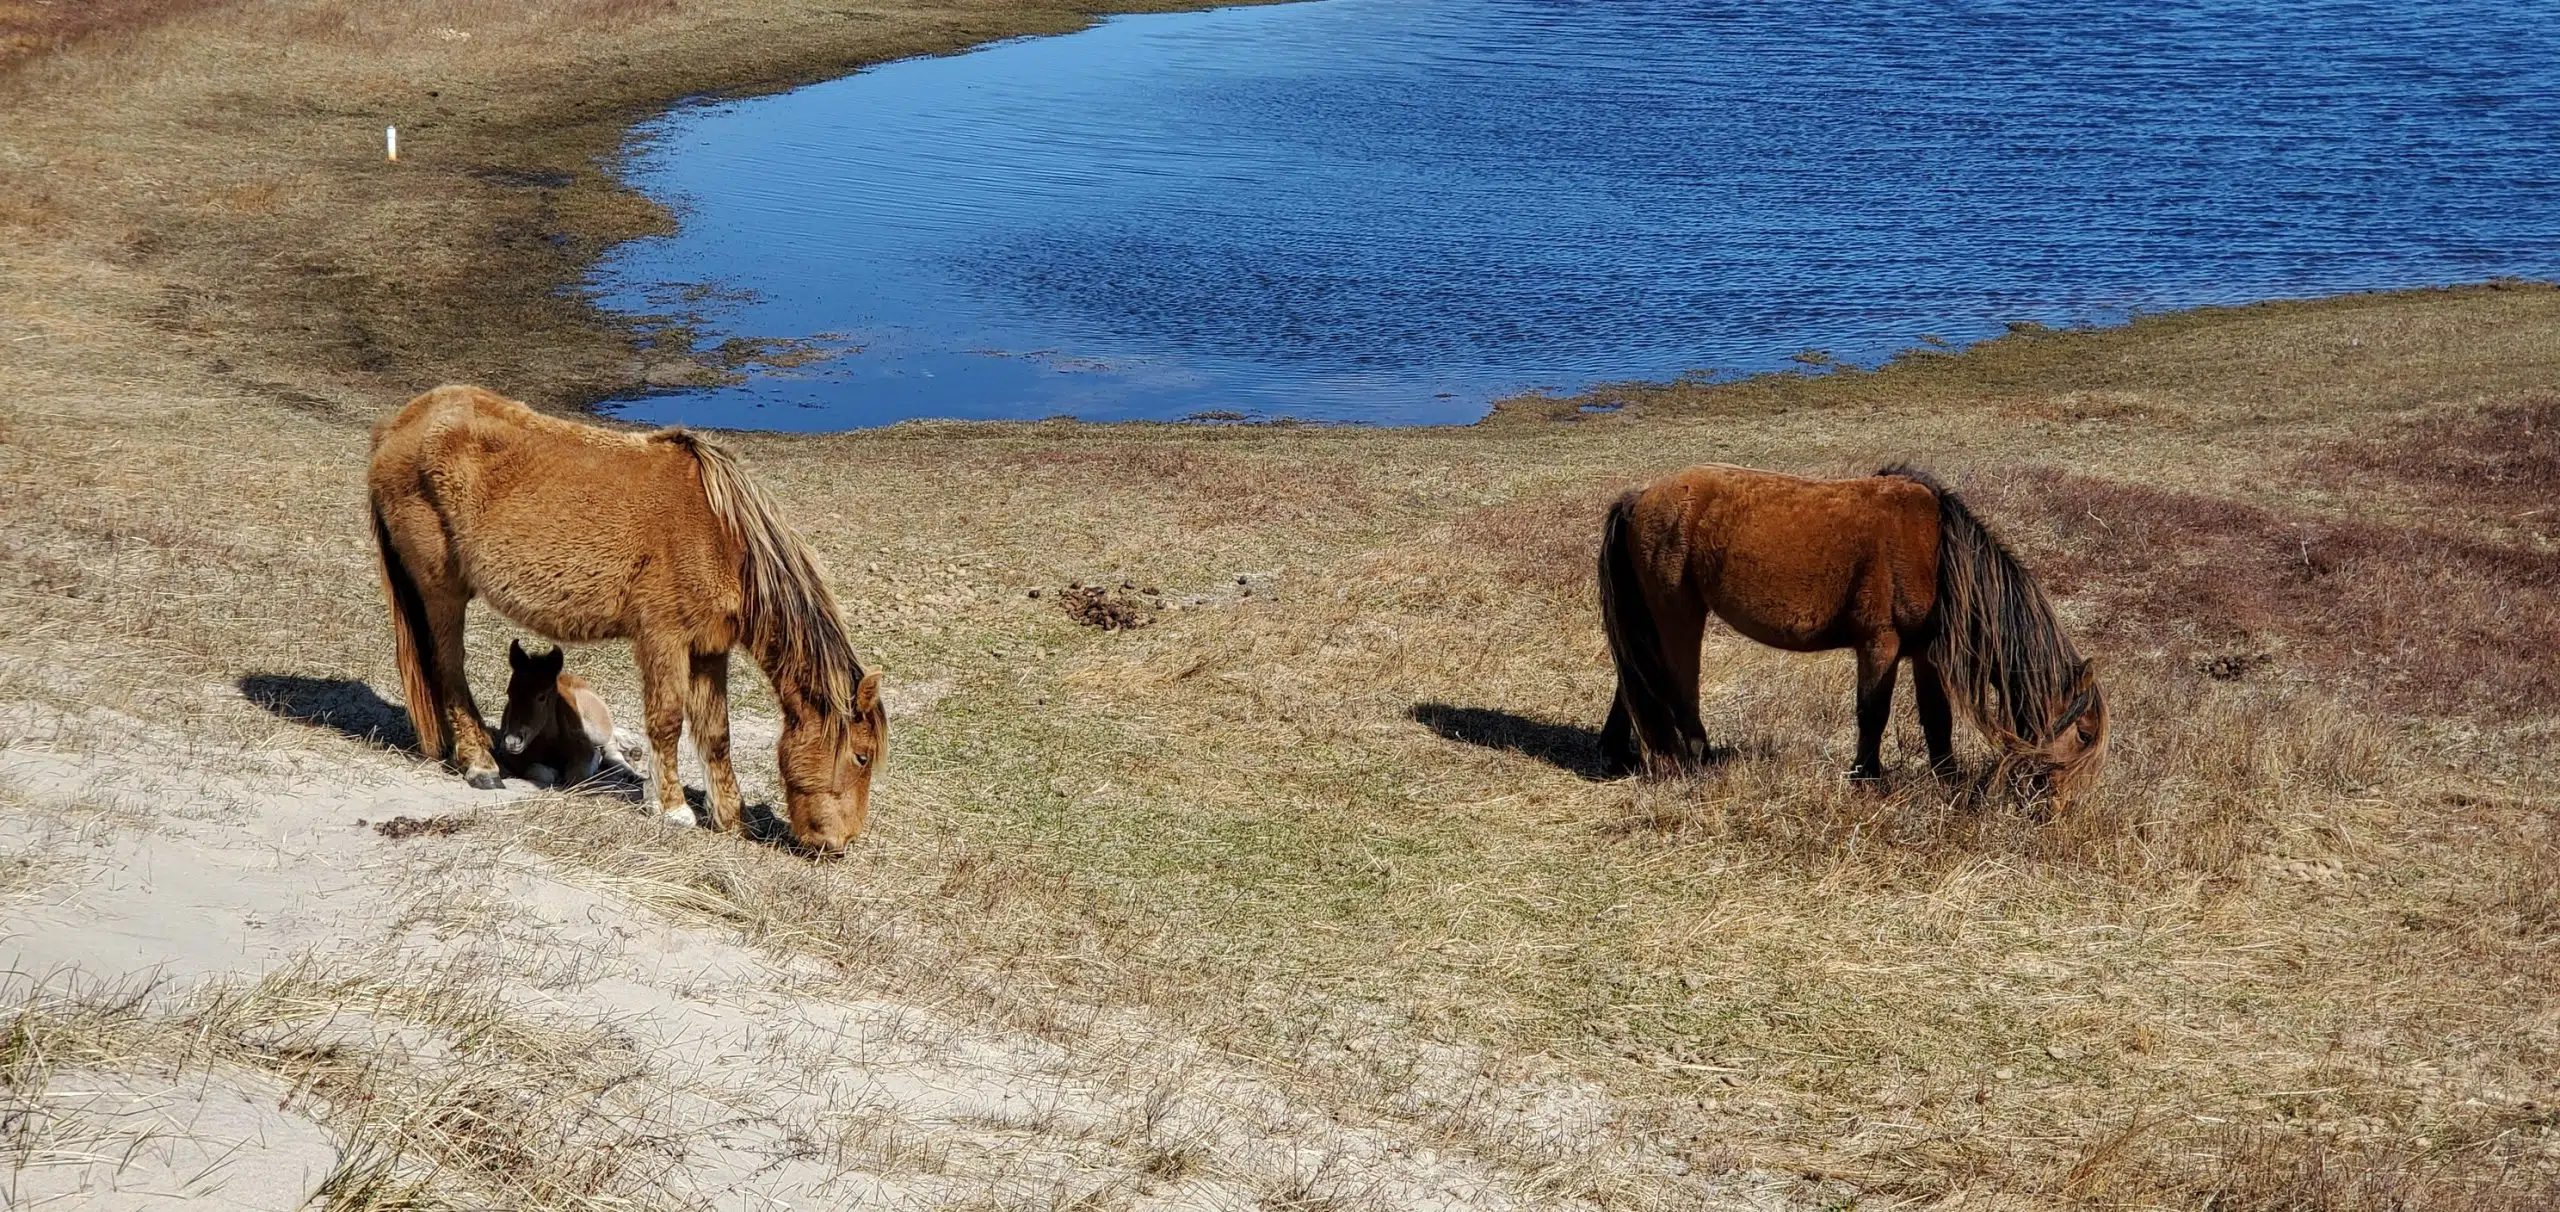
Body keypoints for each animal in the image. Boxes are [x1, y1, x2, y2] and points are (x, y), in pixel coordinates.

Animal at [496, 638, 622, 789]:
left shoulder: (582, 746)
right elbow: (538, 771)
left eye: (542, 696)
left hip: (598, 730)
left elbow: (576, 775)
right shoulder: (508, 755)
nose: (512, 741)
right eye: (509, 693)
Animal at [1587, 461, 2109, 794]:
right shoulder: (1879, 644)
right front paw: (1867, 775)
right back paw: (1696, 758)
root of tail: (1639, 498)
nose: (2054, 806)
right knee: (1677, 686)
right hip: (1679, 616)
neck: (1935, 551)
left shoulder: (1923, 653)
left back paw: (1616, 754)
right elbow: (1872, 713)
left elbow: (1937, 720)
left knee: (1635, 682)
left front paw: (1949, 781)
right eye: (2083, 735)